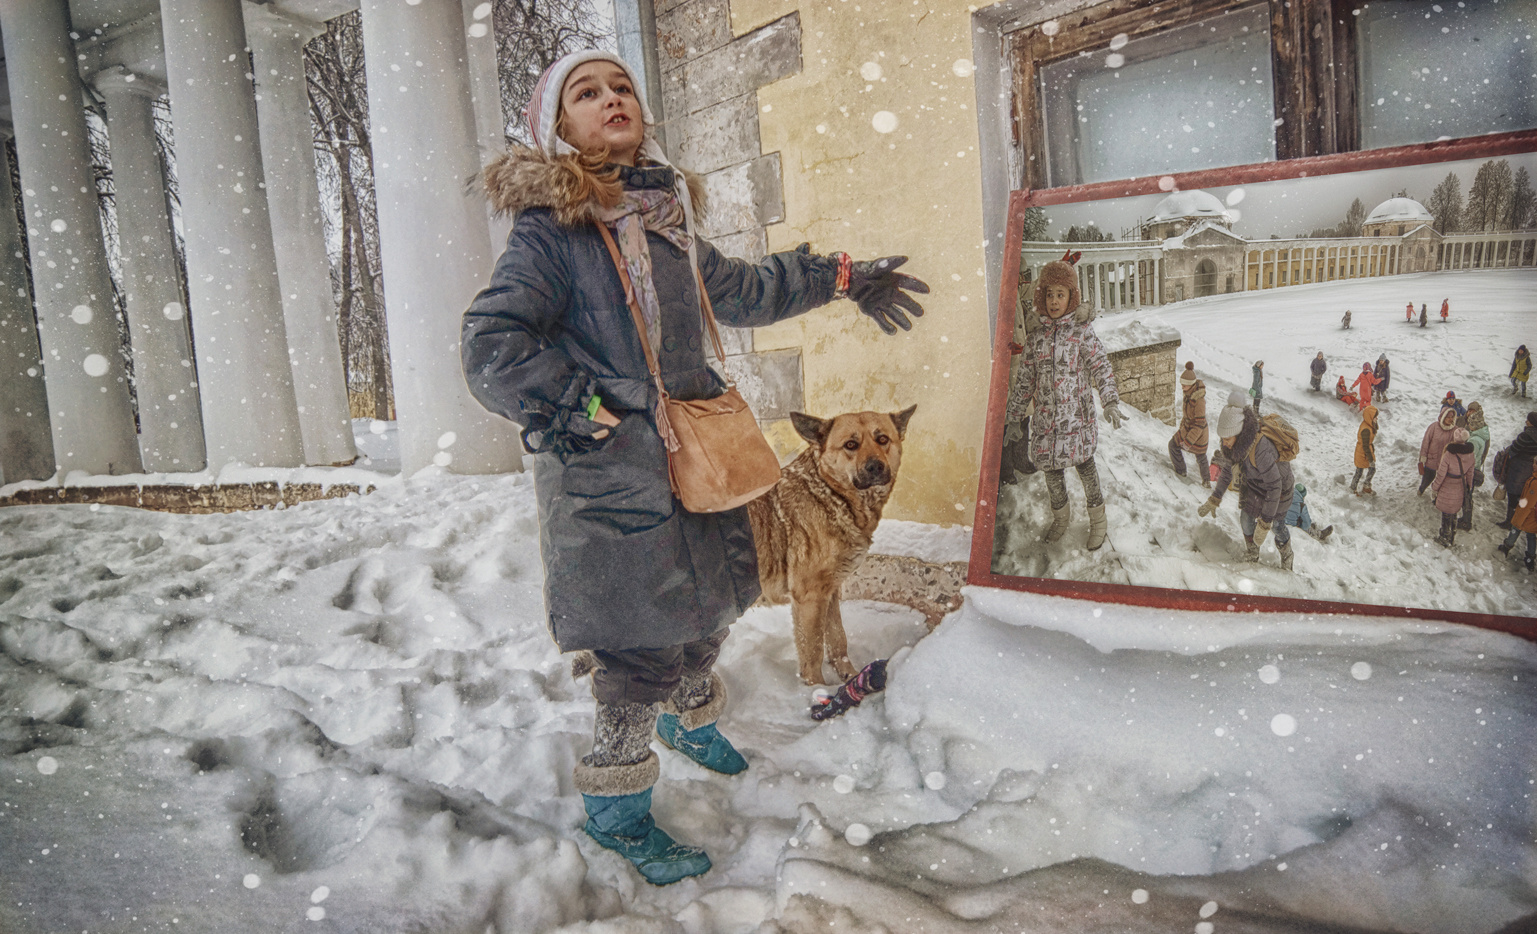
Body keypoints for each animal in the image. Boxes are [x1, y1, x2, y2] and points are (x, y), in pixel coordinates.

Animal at [747, 405, 916, 685]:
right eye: (851, 444)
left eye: (882, 439)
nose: (876, 466)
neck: (830, 494)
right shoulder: (809, 596)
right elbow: (813, 650)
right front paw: (815, 690)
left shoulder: (831, 590)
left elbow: (838, 638)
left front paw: (849, 676)